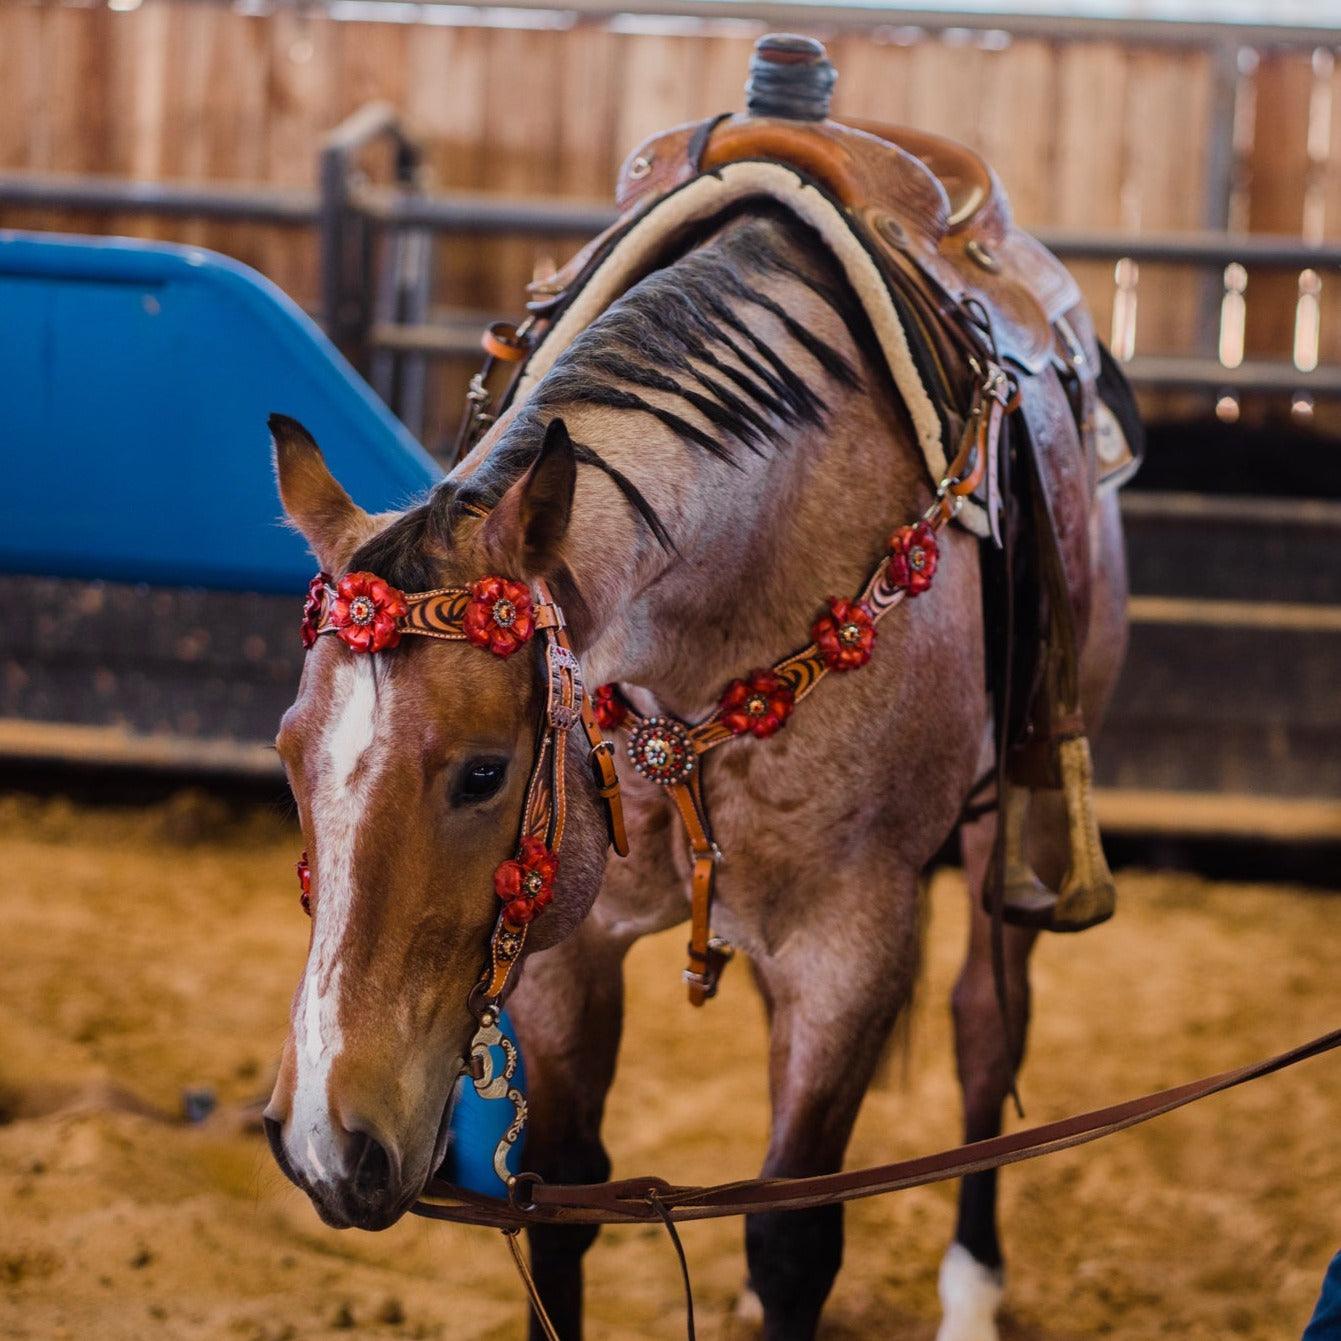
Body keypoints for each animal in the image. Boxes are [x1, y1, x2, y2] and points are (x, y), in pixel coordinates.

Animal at [261, 201, 1121, 1341]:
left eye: (484, 774)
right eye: (289, 758)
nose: (328, 1141)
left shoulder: (847, 945)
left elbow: (795, 1234)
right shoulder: (566, 948)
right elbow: (563, 1205)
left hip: (1012, 827)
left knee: (988, 1026)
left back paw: (973, 1286)